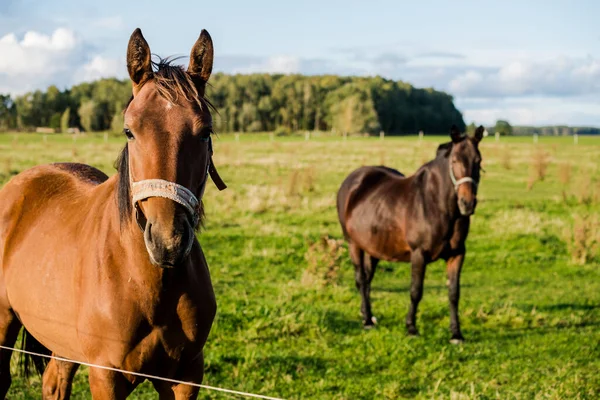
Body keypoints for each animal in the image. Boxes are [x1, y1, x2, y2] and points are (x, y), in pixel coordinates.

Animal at [338, 126, 482, 342]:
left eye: (478, 160)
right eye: (455, 160)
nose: (467, 203)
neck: (435, 204)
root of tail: (352, 180)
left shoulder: (457, 255)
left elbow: (454, 293)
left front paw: (456, 333)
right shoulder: (419, 254)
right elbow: (416, 291)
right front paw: (411, 328)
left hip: (373, 248)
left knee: (368, 279)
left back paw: (368, 315)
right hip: (353, 244)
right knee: (361, 280)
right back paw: (367, 321)